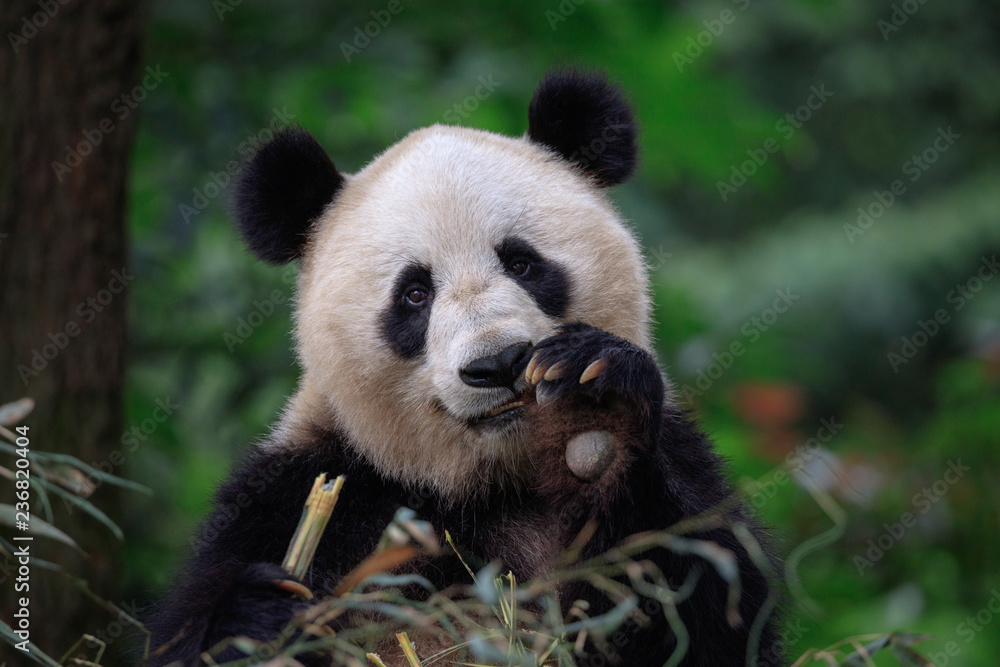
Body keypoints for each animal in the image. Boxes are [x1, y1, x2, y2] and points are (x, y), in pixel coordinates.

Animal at [148, 70, 784, 664]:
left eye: (522, 262)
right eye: (414, 294)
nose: (499, 363)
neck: (490, 486)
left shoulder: (682, 460)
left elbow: (709, 611)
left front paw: (598, 415)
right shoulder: (307, 490)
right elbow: (193, 628)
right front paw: (260, 617)